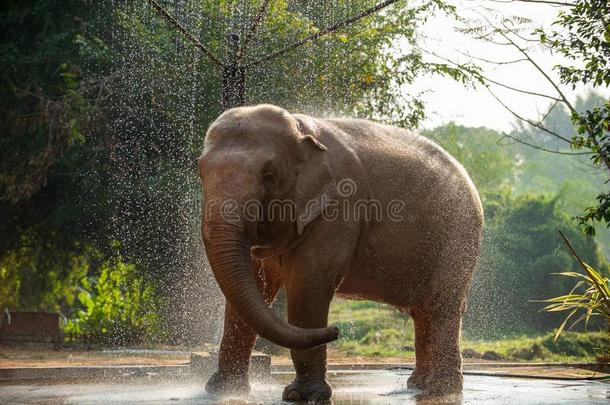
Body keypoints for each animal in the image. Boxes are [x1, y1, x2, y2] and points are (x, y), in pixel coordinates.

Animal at [198, 102, 480, 400]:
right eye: (200, 172)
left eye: (269, 176)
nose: (336, 330)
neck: (301, 129)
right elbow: (253, 284)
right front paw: (221, 391)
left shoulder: (341, 205)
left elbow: (309, 283)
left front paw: (302, 396)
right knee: (423, 312)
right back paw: (418, 386)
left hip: (458, 235)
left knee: (442, 305)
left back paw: (439, 389)